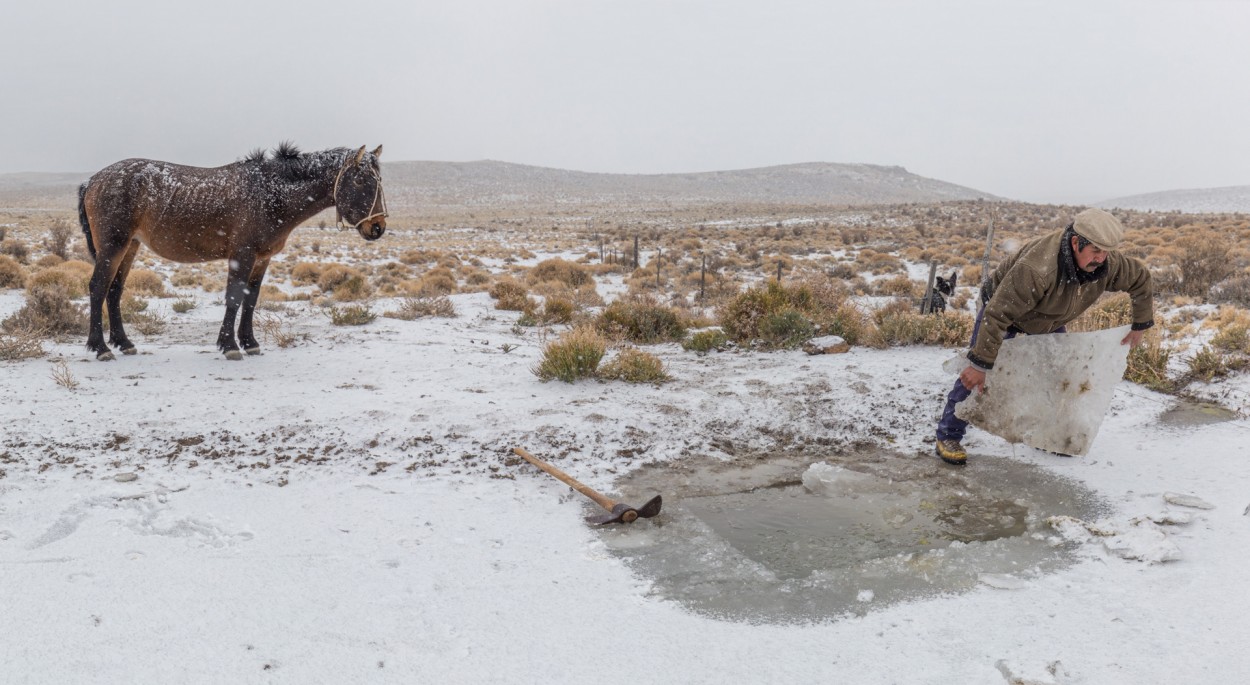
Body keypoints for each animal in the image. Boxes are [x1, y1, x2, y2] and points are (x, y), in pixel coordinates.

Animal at [78, 142, 385, 360]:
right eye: (360, 181)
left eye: (379, 182)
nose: (378, 227)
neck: (271, 193)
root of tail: (92, 180)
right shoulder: (242, 255)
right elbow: (235, 297)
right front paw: (229, 345)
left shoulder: (262, 258)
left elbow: (251, 299)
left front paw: (250, 343)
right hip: (113, 245)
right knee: (98, 287)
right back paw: (100, 348)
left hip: (130, 246)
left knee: (114, 289)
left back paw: (124, 343)